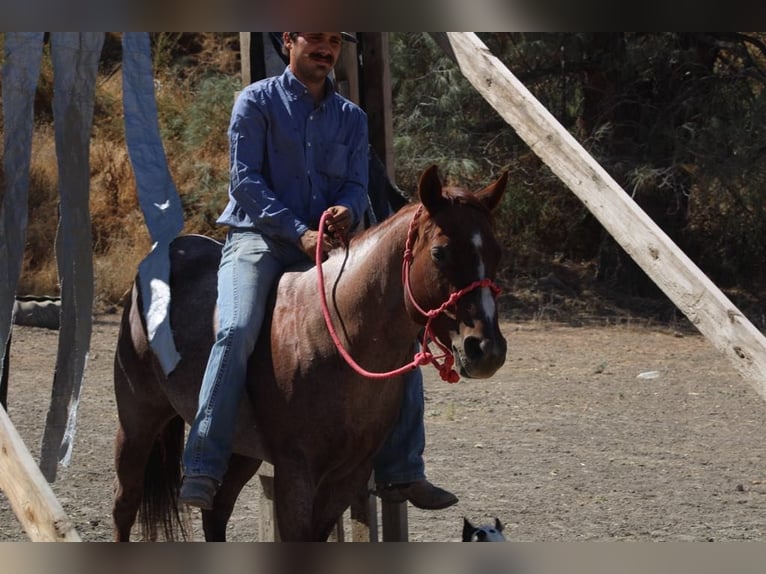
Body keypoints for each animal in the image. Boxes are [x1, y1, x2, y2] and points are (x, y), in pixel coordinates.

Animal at [112, 165, 508, 541]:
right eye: (440, 252)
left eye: (495, 252)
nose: (485, 348)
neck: (337, 335)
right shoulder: (295, 473)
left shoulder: (349, 475)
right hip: (137, 424)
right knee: (125, 507)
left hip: (241, 451)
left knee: (216, 514)